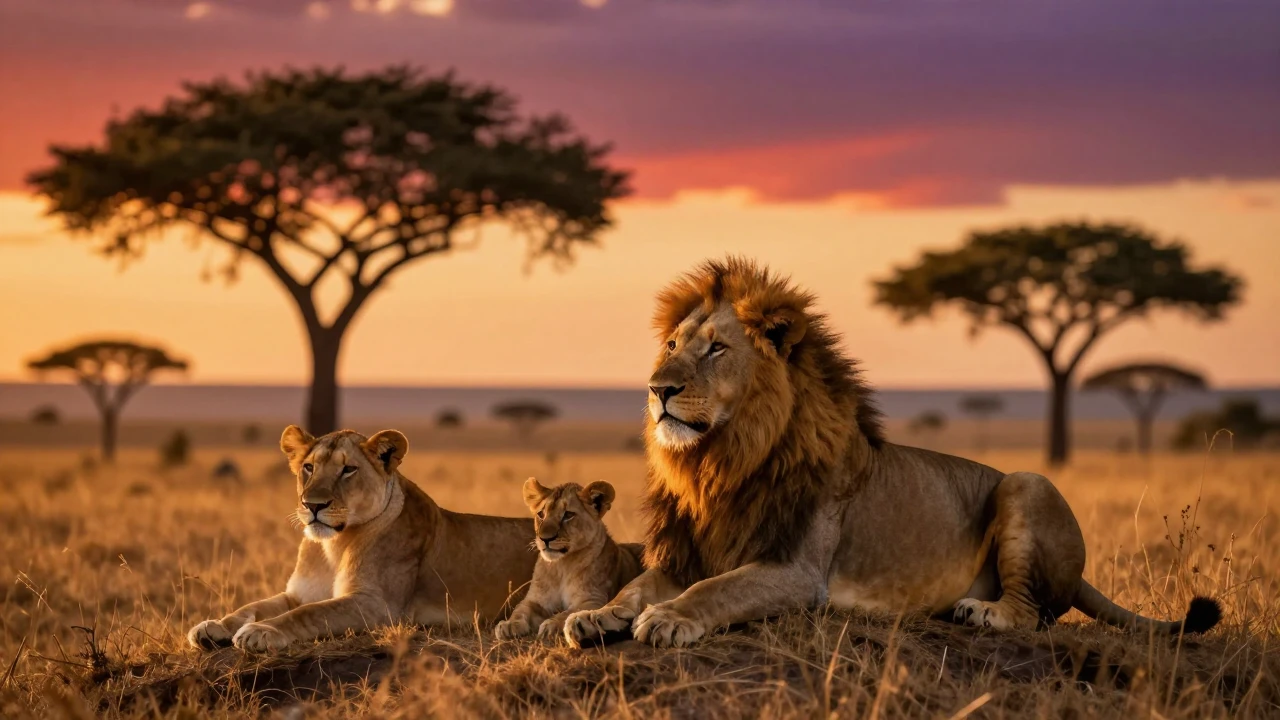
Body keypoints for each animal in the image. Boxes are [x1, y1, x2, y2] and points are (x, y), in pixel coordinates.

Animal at [187, 426, 536, 652]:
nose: (312, 505)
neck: (332, 546)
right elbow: (253, 606)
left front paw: (261, 631)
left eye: (348, 470)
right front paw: (215, 626)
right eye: (308, 467)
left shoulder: (378, 607)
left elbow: (308, 614)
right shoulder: (299, 593)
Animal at [494, 478, 643, 642]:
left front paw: (551, 625)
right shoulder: (535, 600)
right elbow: (520, 610)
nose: (544, 539)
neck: (561, 566)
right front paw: (509, 625)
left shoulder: (593, 600)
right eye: (541, 514)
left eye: (568, 515)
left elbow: (567, 613)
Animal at [565, 257, 1221, 649]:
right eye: (673, 345)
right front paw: (598, 615)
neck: (721, 461)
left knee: (1032, 611)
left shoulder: (798, 573)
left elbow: (716, 591)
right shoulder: (690, 552)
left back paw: (982, 612)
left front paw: (670, 619)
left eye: (717, 349)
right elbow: (638, 585)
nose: (658, 389)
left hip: (1025, 482)